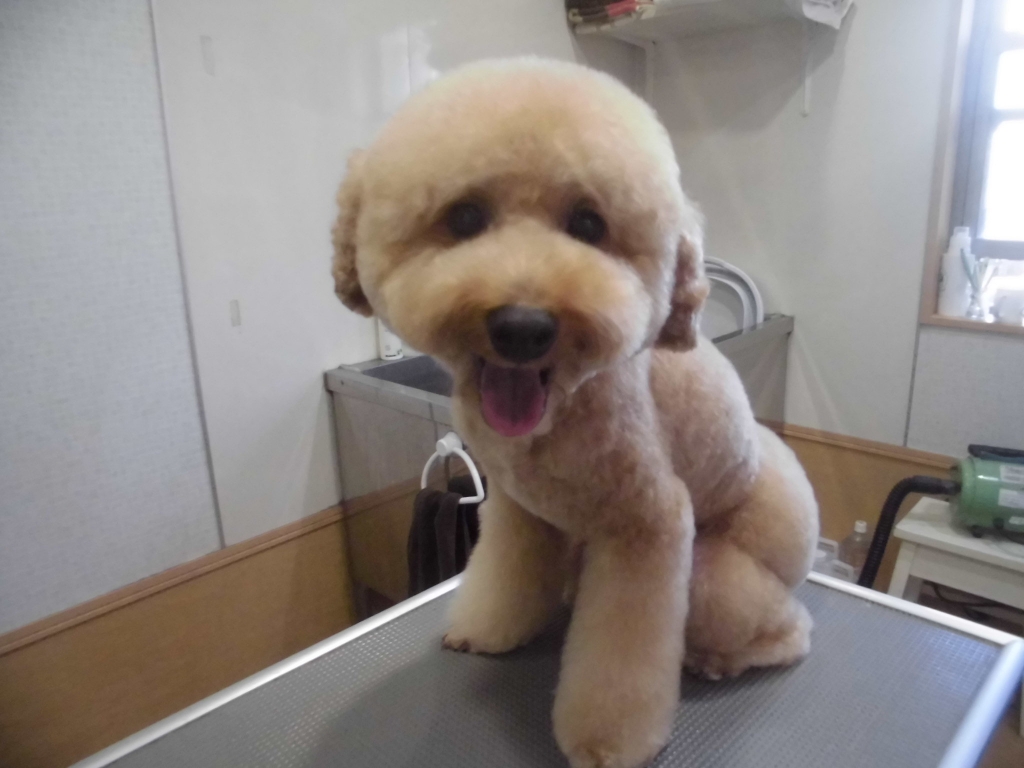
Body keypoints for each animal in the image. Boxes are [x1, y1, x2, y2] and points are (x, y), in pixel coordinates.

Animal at [331, 57, 819, 768]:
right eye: (465, 217)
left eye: (589, 225)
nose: (522, 326)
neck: (560, 411)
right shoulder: (519, 507)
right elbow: (508, 576)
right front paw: (488, 631)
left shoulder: (647, 528)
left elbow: (620, 657)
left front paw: (607, 741)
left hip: (715, 579)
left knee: (790, 629)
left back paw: (720, 658)